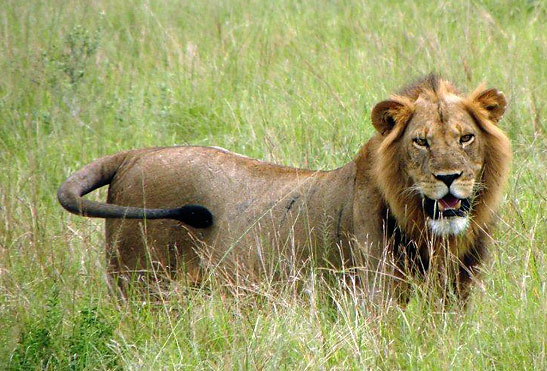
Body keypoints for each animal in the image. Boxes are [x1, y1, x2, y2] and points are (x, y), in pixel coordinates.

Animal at [57, 75, 512, 306]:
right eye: (420, 142)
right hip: (139, 288)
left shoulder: (457, 298)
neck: (431, 235)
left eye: (466, 137)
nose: (449, 177)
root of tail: (136, 154)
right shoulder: (372, 300)